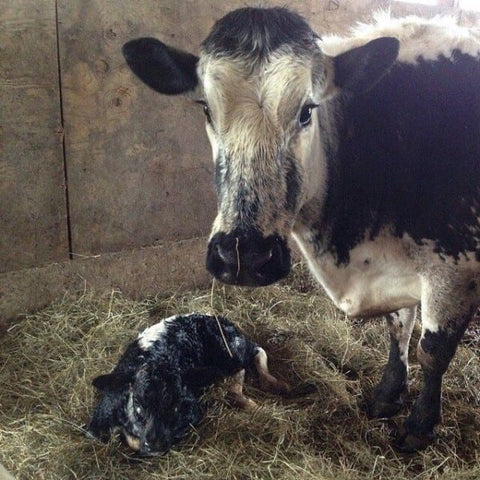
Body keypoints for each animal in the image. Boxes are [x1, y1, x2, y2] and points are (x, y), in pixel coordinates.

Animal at [86, 314, 288, 456]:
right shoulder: (97, 424)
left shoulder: (193, 413)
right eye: (137, 404)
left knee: (254, 354)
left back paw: (272, 388)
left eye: (176, 406)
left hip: (230, 351)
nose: (155, 444)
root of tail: (215, 317)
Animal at [122, 5, 480, 452]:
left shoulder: (454, 271)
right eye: (205, 108)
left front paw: (418, 425)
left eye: (307, 110)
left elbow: (432, 352)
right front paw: (386, 397)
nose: (245, 257)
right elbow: (398, 330)